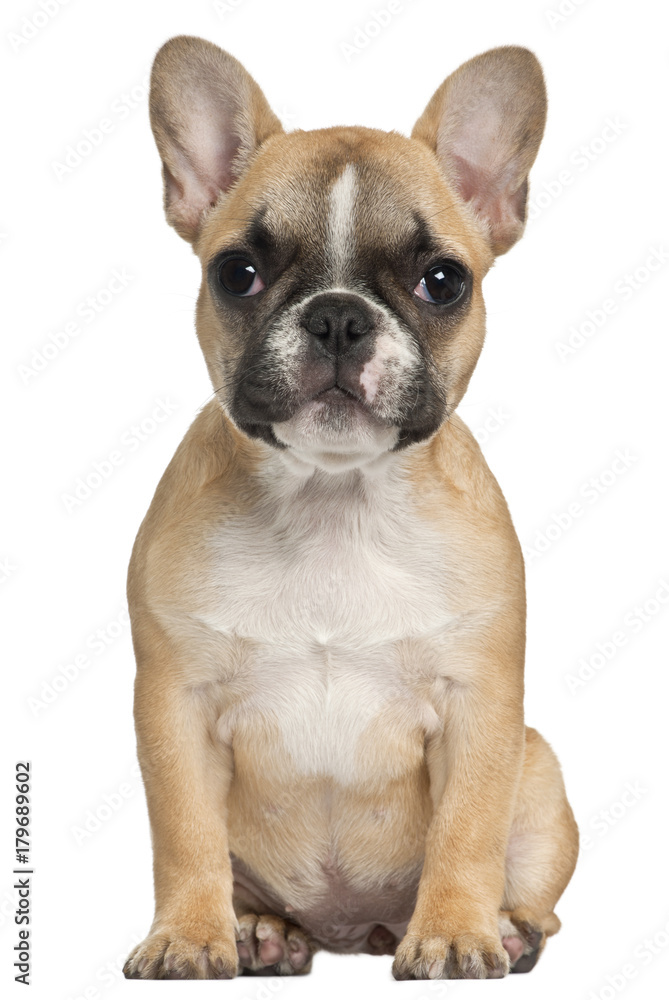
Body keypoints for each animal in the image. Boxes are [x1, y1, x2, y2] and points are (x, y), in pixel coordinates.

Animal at [124, 35, 580, 980]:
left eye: (443, 280)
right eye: (237, 273)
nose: (338, 315)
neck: (333, 499)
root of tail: (350, 933)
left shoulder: (480, 707)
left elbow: (466, 828)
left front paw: (454, 932)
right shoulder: (173, 707)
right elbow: (184, 834)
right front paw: (189, 935)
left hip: (541, 771)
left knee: (530, 887)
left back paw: (504, 927)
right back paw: (258, 930)